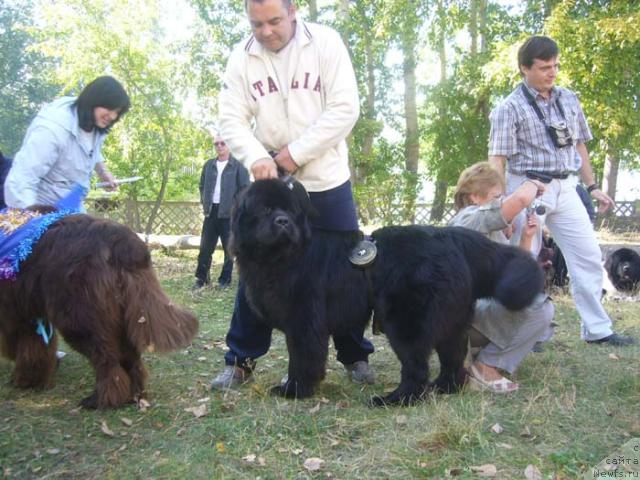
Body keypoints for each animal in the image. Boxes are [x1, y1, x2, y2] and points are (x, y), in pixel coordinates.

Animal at [0, 214, 198, 408]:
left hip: (79, 318)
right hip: (122, 315)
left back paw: (100, 400)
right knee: (130, 359)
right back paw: (133, 395)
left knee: (107, 361)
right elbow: (35, 347)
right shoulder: (30, 316)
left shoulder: (16, 314)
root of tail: (120, 239)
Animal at [231, 179, 544, 404]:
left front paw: (295, 390)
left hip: (406, 321)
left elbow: (302, 358)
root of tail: (451, 236)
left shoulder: (304, 321)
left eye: (290, 211)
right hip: (452, 319)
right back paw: (444, 388)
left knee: (416, 366)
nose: (283, 221)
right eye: (266, 210)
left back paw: (396, 399)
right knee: (453, 357)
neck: (285, 257)